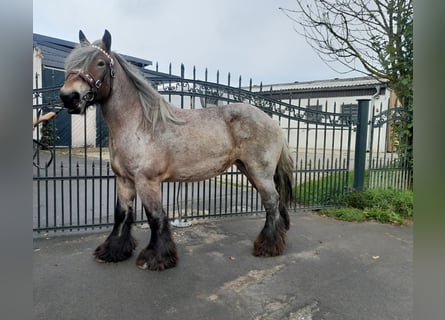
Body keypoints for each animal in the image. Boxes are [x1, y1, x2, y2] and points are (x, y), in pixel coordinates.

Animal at [59, 29, 294, 270]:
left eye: (100, 63)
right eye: (70, 63)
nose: (69, 97)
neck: (139, 123)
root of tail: (272, 122)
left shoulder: (148, 181)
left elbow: (155, 217)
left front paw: (156, 257)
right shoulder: (124, 180)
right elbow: (121, 214)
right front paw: (113, 251)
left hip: (260, 172)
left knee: (271, 201)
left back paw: (268, 246)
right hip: (249, 170)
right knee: (272, 202)